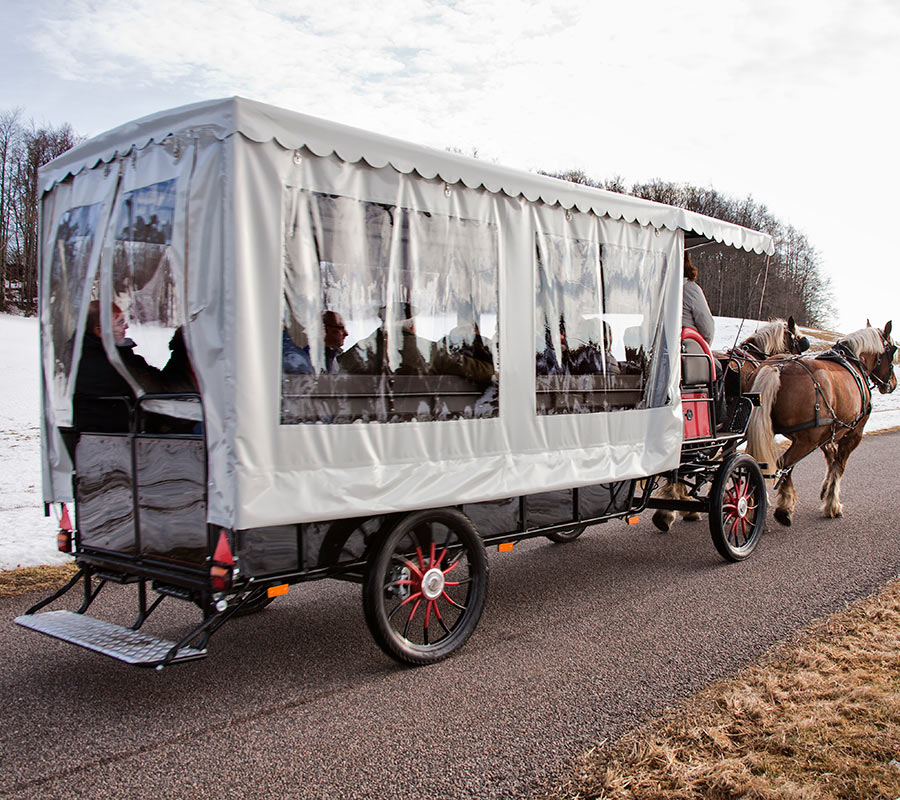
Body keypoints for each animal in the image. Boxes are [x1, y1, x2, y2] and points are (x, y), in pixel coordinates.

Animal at [744, 322, 892, 528]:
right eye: (893, 350)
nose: (892, 384)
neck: (854, 361)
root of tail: (777, 367)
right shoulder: (854, 433)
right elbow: (839, 466)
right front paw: (832, 504)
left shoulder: (827, 432)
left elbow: (831, 458)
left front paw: (824, 491)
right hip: (807, 440)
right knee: (783, 463)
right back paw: (782, 509)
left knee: (760, 463)